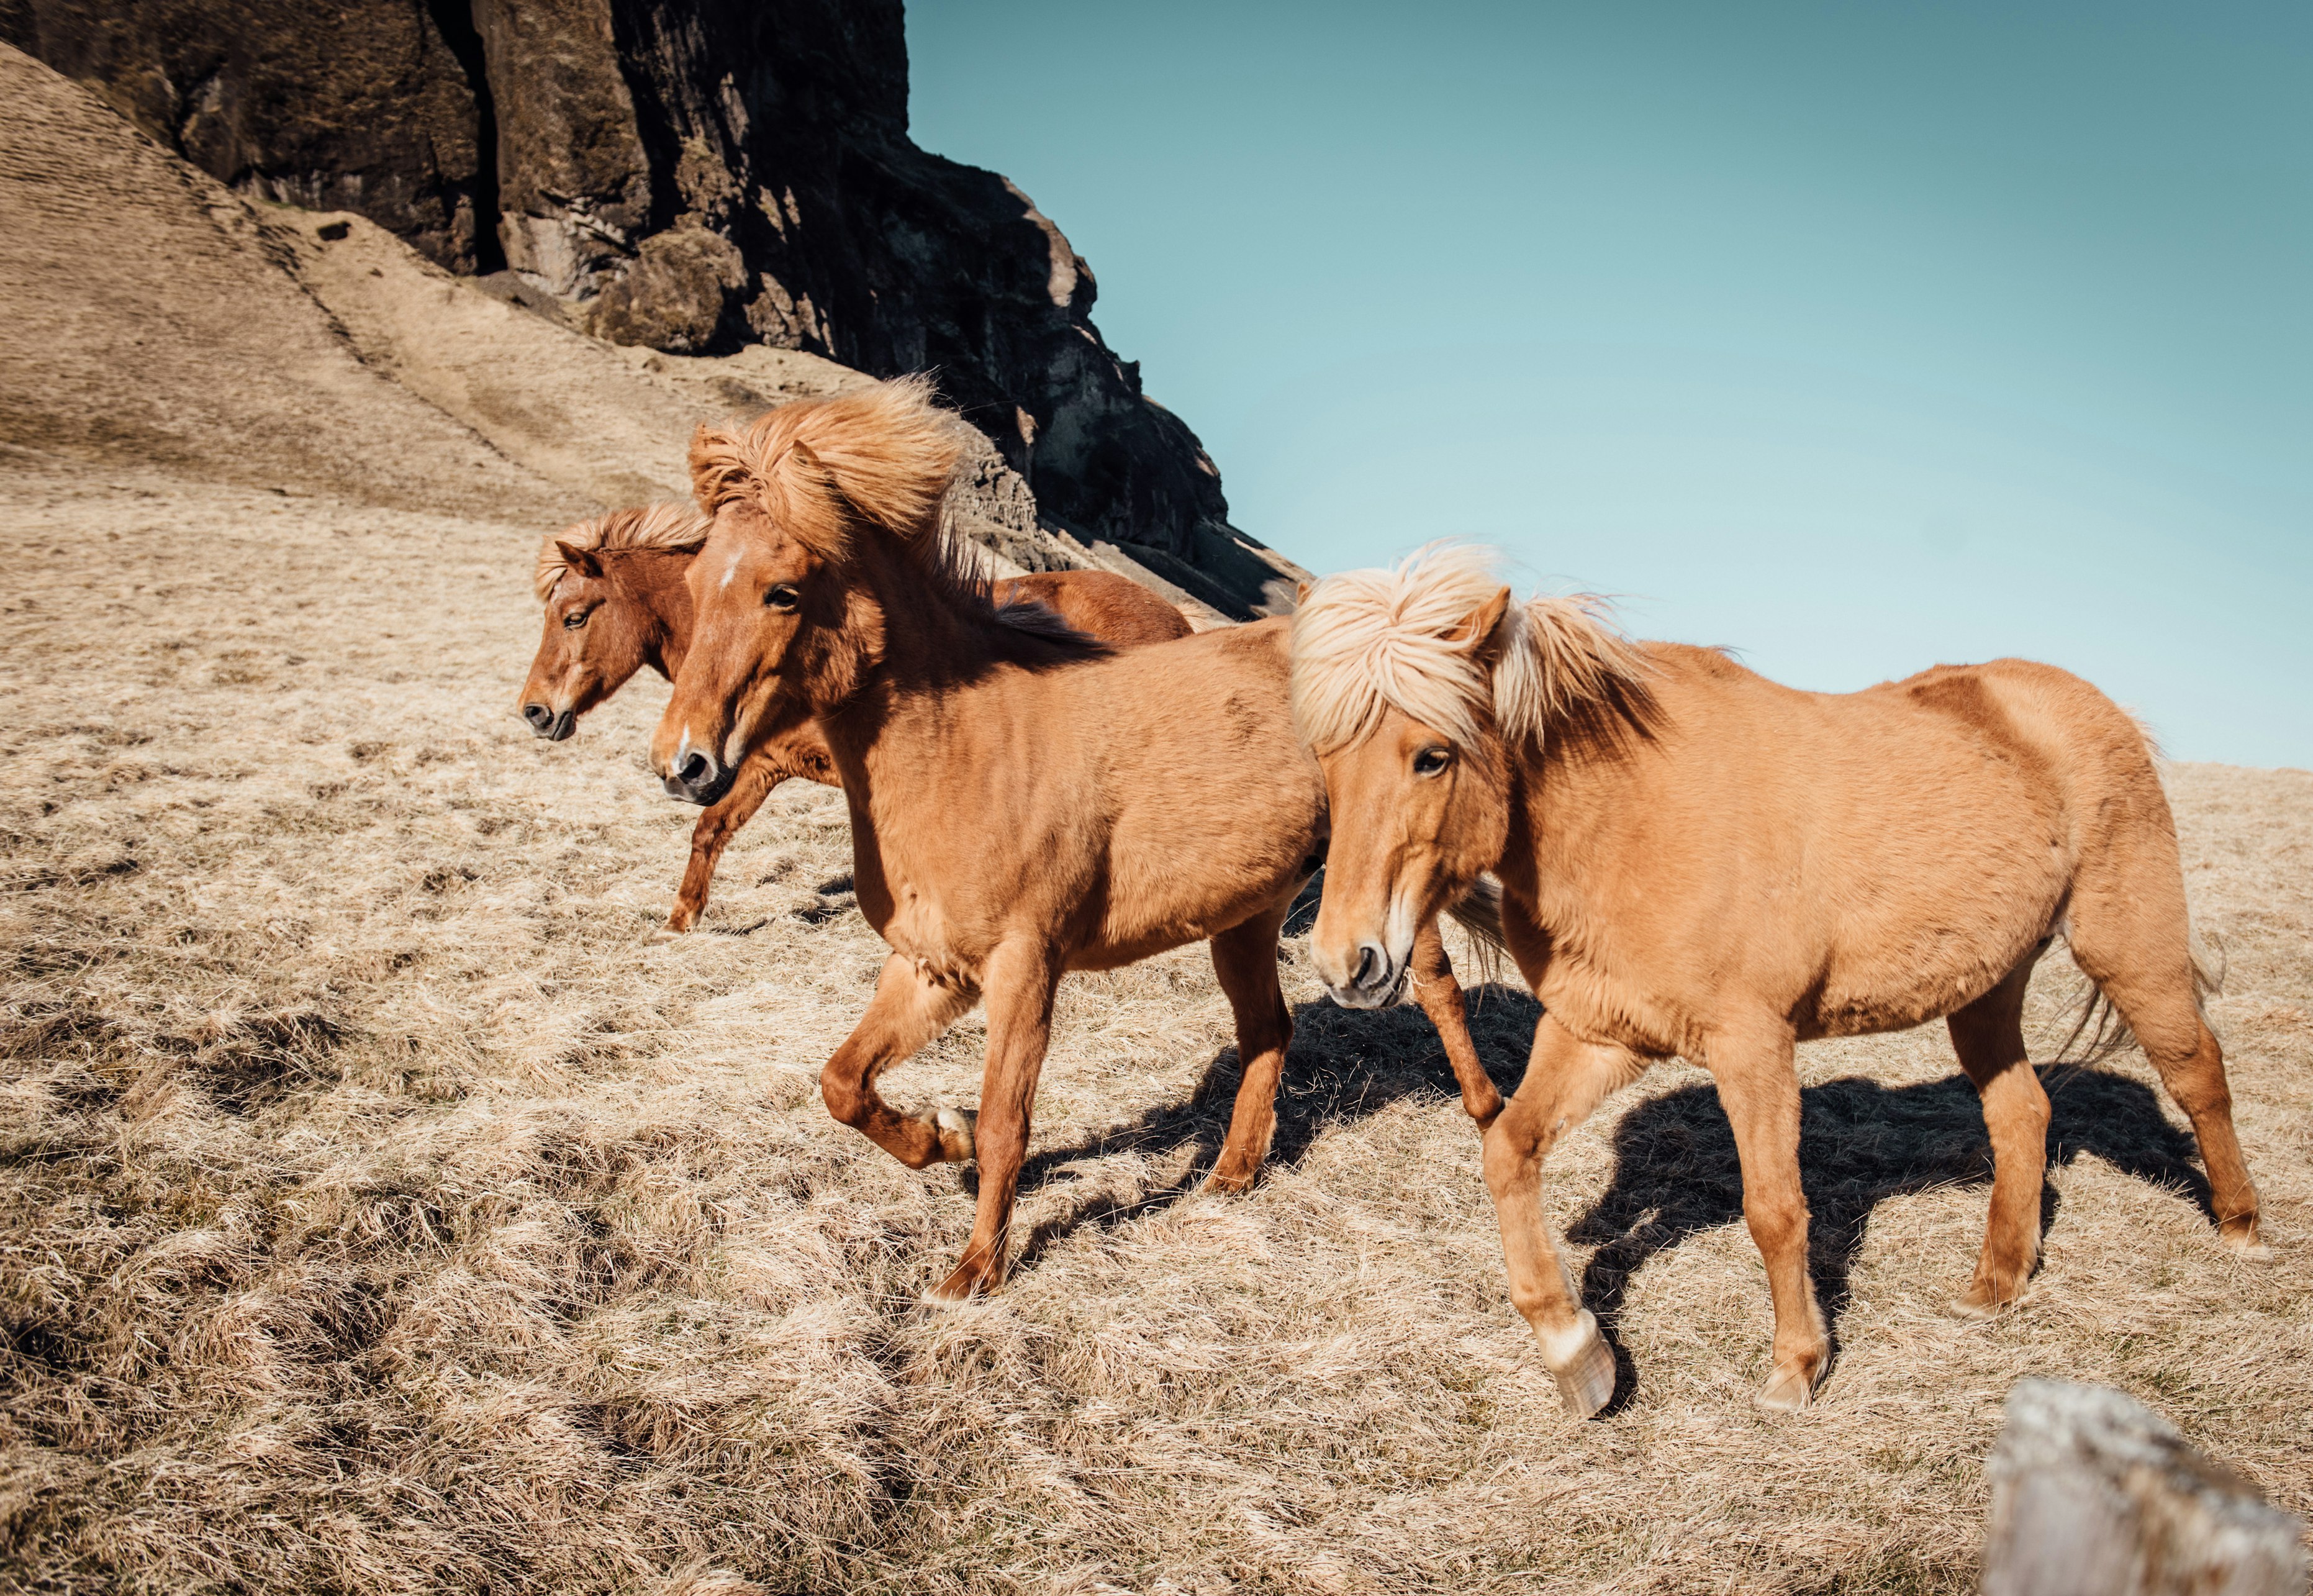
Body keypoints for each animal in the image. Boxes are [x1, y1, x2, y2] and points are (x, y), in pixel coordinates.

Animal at [522, 497, 1193, 920]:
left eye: (573, 616)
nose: (534, 712)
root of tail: (1174, 617)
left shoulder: (761, 764)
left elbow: (709, 827)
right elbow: (711, 831)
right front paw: (680, 921)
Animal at [1295, 543, 2266, 1406]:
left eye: (1431, 754)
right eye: (1325, 759)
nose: (1350, 962)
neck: (1633, 815)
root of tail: (2094, 704)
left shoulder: (1752, 1045)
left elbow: (1773, 1208)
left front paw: (1795, 1366)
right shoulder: (1599, 1032)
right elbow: (1507, 1149)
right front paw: (1576, 1352)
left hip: (2128, 944)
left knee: (2197, 1071)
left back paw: (2242, 1231)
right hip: (1985, 987)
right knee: (2021, 1111)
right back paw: (1995, 1283)